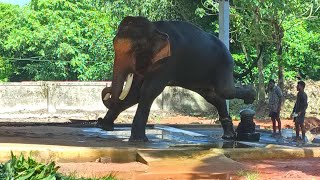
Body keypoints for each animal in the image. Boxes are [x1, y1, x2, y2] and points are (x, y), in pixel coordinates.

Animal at [97, 15, 255, 142]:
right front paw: (104, 126)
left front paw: (138, 140)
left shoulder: (168, 61)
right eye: (113, 42)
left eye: (137, 48)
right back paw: (228, 135)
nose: (98, 120)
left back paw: (251, 96)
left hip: (224, 64)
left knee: (225, 91)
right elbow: (134, 93)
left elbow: (148, 91)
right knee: (213, 97)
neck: (155, 28)